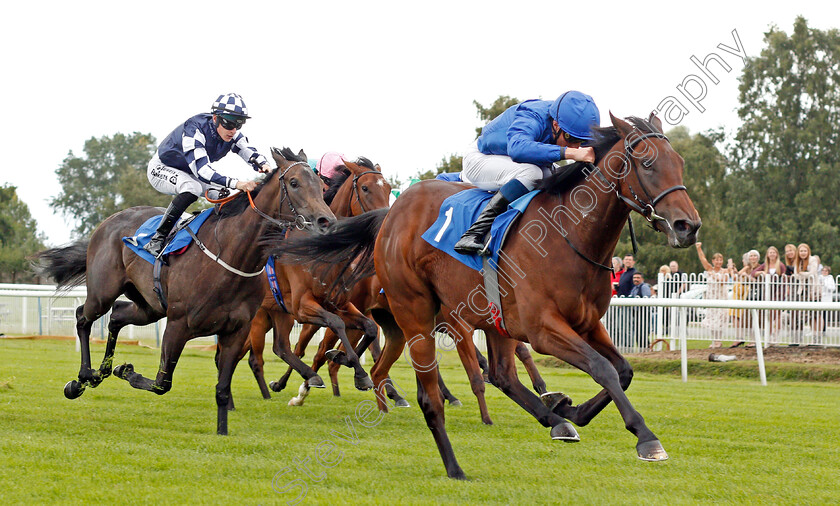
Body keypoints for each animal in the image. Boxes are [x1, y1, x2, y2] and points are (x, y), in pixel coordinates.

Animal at [32, 147, 334, 434]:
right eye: (294, 183)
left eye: (321, 185)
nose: (325, 221)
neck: (232, 257)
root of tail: (109, 220)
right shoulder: (178, 325)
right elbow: (161, 383)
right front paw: (125, 370)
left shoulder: (235, 331)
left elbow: (222, 389)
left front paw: (222, 432)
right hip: (103, 293)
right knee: (83, 316)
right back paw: (83, 378)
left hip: (149, 307)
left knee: (116, 315)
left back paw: (101, 371)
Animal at [276, 112, 704, 476]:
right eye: (647, 164)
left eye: (680, 162)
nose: (688, 225)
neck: (570, 235)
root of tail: (393, 212)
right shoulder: (544, 329)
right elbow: (603, 369)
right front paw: (646, 438)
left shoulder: (586, 322)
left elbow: (624, 370)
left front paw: (570, 408)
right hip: (416, 310)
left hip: (491, 319)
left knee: (501, 374)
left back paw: (556, 419)